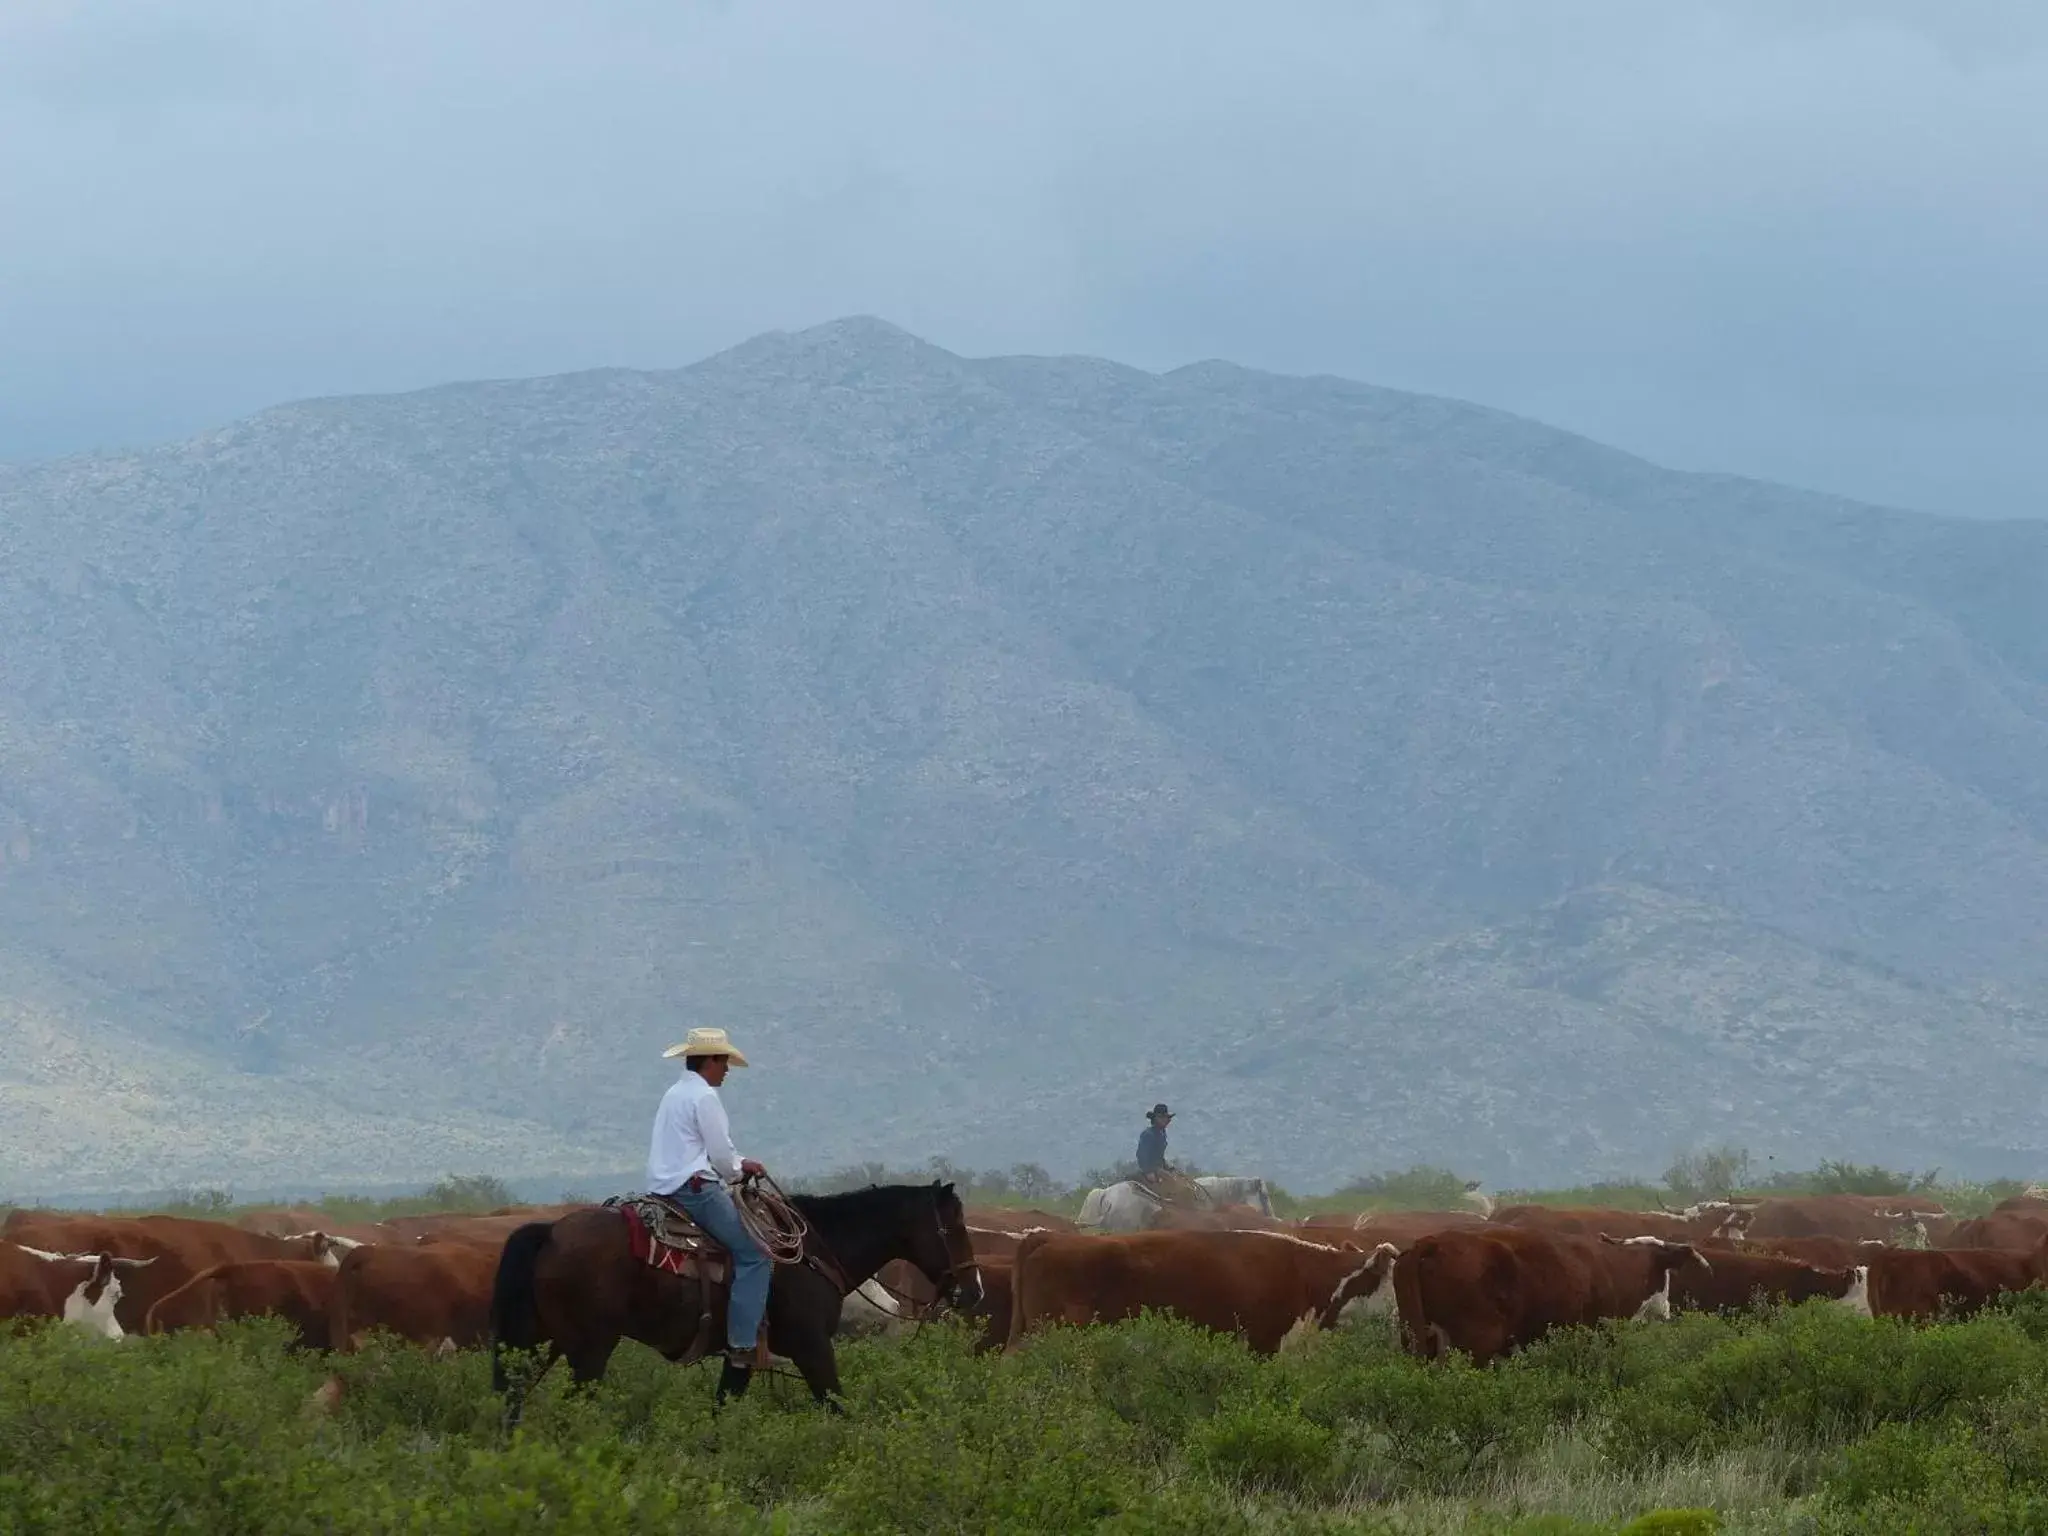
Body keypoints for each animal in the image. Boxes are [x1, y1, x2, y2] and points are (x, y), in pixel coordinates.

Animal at [491, 1187, 978, 1417]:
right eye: (954, 1227)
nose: (974, 1290)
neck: (815, 1248)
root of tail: (551, 1232)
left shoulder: (740, 1356)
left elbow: (721, 1410)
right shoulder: (812, 1346)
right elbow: (838, 1404)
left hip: (539, 1344)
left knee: (512, 1400)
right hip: (589, 1350)